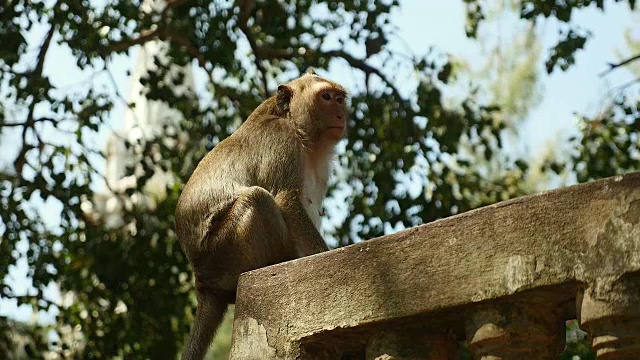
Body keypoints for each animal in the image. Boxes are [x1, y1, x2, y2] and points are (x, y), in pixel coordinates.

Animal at [175, 69, 348, 358]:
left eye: (339, 98)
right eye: (326, 97)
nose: (341, 114)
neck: (297, 128)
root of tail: (202, 283)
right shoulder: (282, 142)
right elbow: (287, 200)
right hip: (223, 254)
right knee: (257, 199)